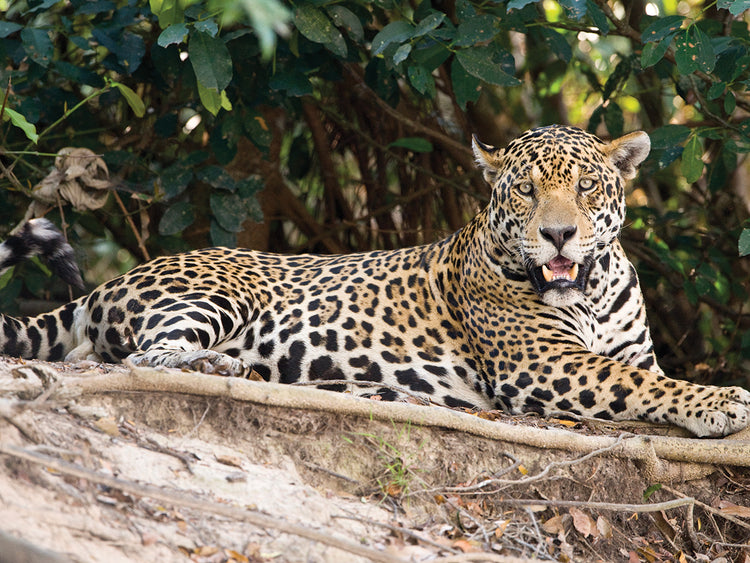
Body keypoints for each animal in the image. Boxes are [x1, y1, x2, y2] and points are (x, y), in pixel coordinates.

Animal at [2, 125, 749, 437]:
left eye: (587, 187)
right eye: (526, 191)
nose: (559, 234)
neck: (587, 287)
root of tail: (114, 280)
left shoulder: (629, 352)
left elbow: (646, 375)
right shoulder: (541, 364)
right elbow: (643, 386)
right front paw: (722, 401)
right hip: (217, 291)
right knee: (140, 354)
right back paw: (219, 364)